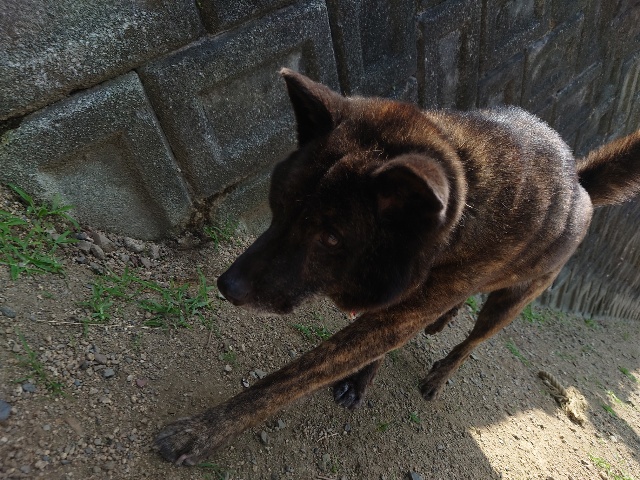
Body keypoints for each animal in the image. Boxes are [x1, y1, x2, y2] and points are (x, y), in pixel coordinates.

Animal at [156, 68, 640, 465]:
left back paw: (440, 372)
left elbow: (286, 380)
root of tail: (581, 181)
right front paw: (361, 377)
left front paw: (200, 432)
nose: (226, 285)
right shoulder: (401, 304)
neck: (465, 198)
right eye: (280, 205)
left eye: (331, 238)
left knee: (473, 339)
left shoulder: (404, 308)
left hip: (511, 300)